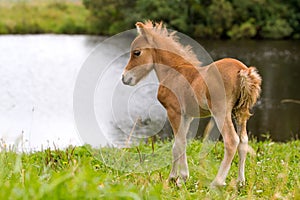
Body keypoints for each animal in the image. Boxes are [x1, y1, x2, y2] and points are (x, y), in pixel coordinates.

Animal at [120, 21, 262, 187]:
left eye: (136, 52)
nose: (124, 78)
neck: (174, 71)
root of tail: (243, 71)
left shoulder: (173, 111)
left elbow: (180, 143)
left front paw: (181, 178)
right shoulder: (187, 116)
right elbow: (178, 145)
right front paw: (173, 177)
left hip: (221, 112)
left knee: (232, 140)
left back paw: (216, 182)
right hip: (241, 112)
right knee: (244, 142)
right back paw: (240, 182)